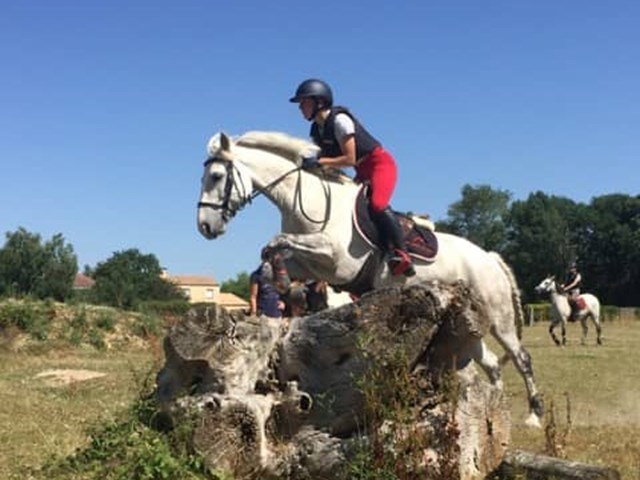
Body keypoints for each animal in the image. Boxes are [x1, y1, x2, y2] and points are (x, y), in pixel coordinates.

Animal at [198, 130, 544, 428]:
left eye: (216, 177)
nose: (205, 227)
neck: (306, 199)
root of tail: (489, 257)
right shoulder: (312, 266)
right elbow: (272, 257)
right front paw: (282, 282)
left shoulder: (336, 258)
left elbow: (275, 241)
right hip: (469, 324)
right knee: (491, 362)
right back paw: (495, 407)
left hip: (498, 316)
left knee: (521, 358)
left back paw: (534, 415)